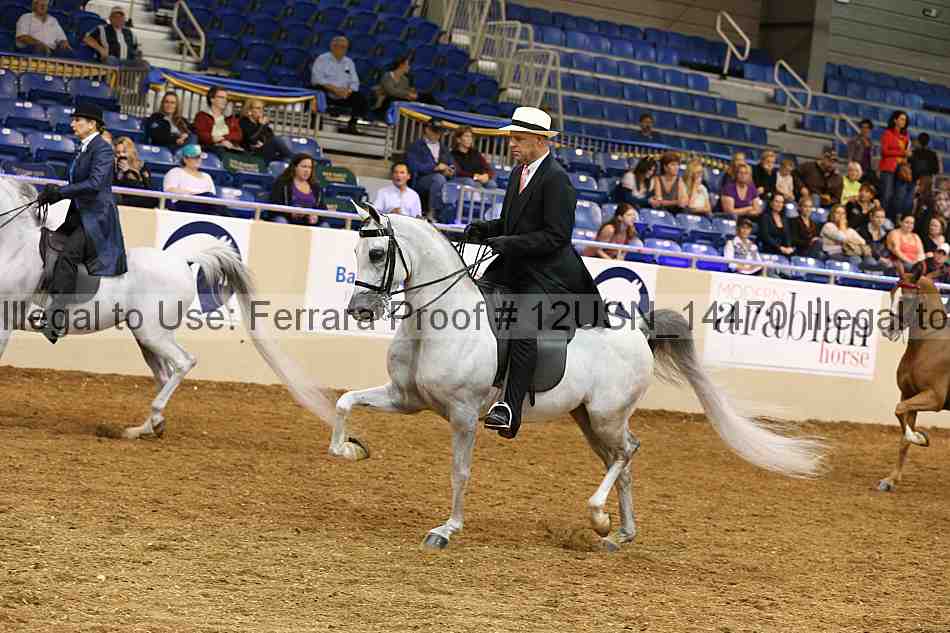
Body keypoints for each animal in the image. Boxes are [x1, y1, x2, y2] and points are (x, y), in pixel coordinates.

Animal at [0, 177, 336, 439]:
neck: (11, 247)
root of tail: (183, 260)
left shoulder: (4, 323)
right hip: (148, 336)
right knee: (166, 374)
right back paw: (147, 428)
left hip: (152, 334)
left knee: (184, 363)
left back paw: (151, 420)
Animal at [331, 202, 827, 551]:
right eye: (354, 251)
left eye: (376, 252)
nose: (360, 311)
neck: (437, 322)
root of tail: (640, 328)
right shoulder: (404, 397)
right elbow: (344, 402)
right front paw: (352, 450)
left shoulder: (464, 414)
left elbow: (460, 472)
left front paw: (447, 529)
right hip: (588, 418)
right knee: (620, 462)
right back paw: (618, 533)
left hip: (606, 415)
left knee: (628, 453)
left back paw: (599, 518)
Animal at [878, 273, 950, 491]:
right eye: (892, 295)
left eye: (906, 299)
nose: (888, 330)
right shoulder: (909, 395)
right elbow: (903, 437)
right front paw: (891, 480)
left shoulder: (934, 398)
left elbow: (899, 410)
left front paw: (919, 437)